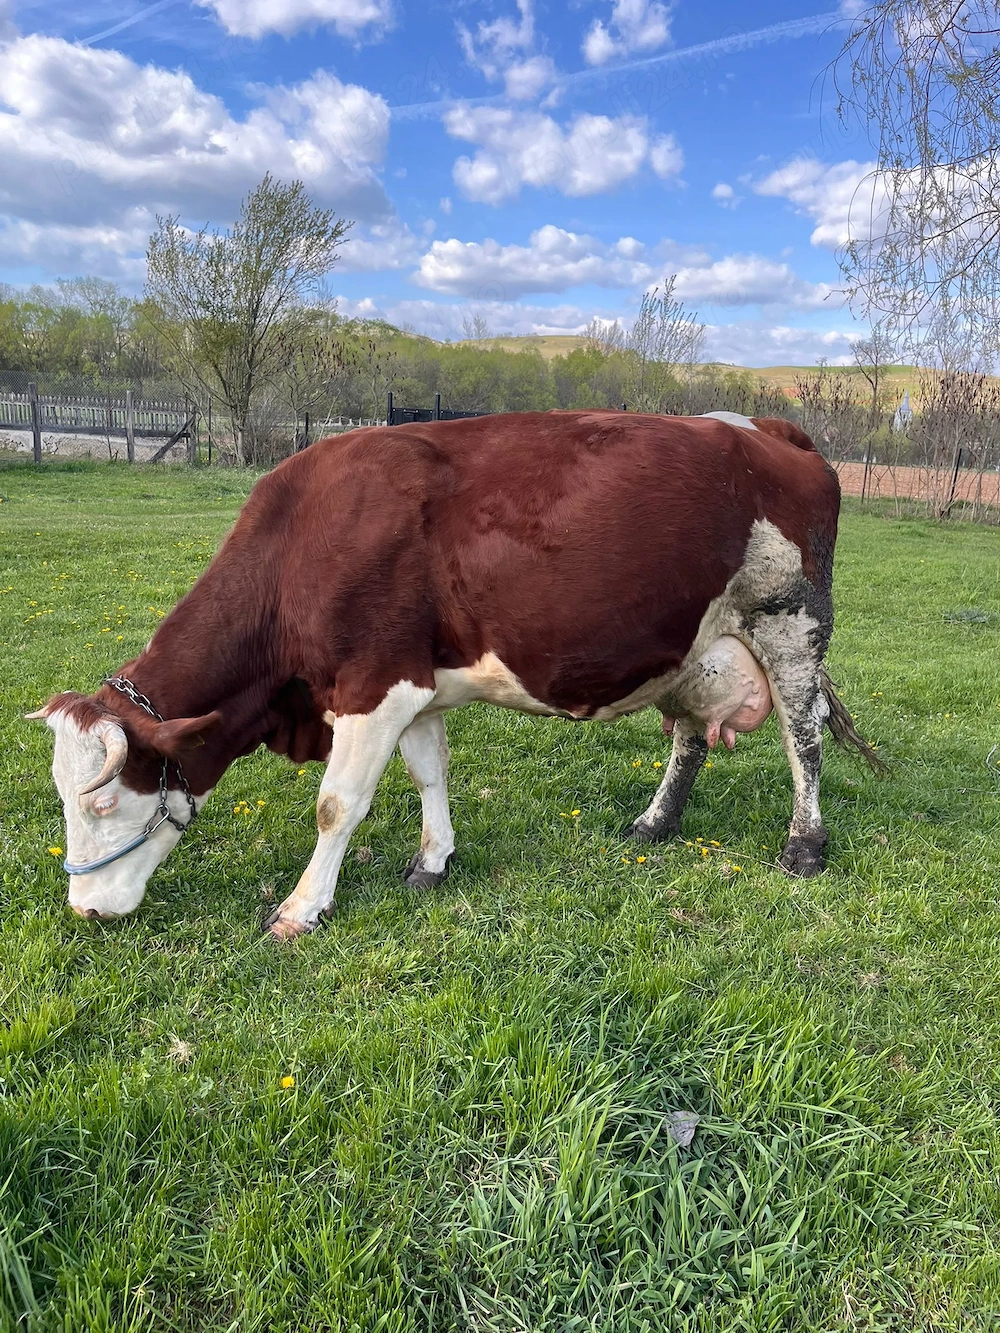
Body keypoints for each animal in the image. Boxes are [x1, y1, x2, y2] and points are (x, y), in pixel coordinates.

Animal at [27, 410, 880, 940]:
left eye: (103, 800)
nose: (84, 909)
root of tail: (766, 427)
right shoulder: (416, 683)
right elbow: (429, 772)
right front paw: (433, 860)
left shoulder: (372, 687)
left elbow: (337, 805)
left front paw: (302, 908)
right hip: (693, 649)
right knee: (690, 739)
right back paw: (655, 822)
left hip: (791, 624)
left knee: (803, 739)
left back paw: (804, 844)